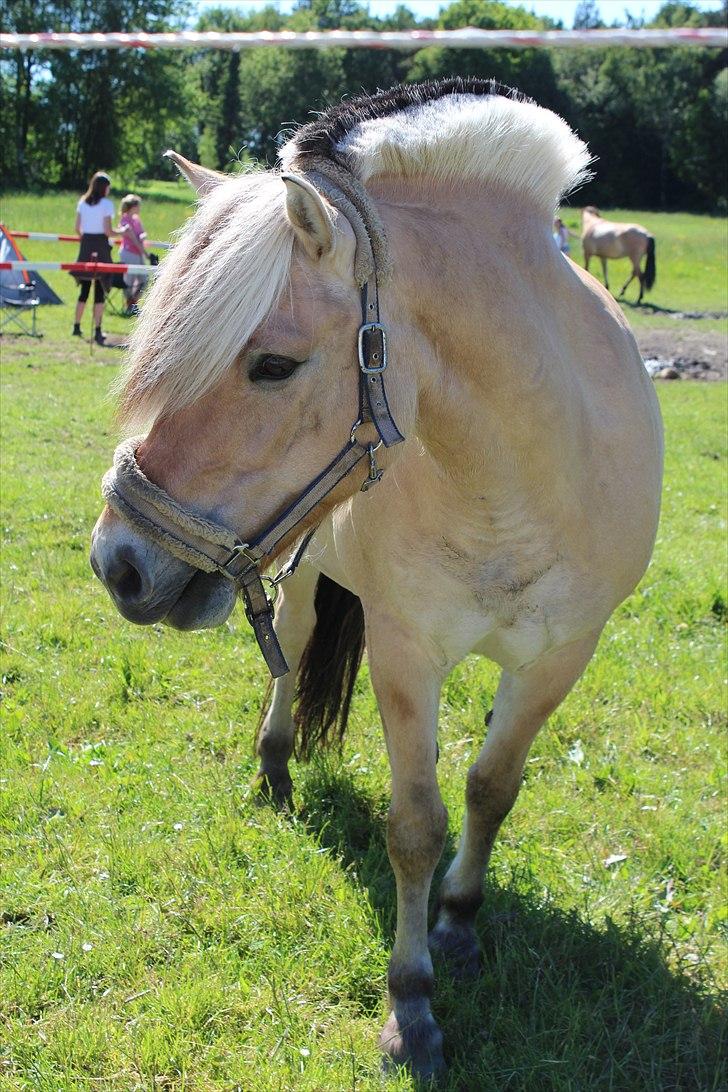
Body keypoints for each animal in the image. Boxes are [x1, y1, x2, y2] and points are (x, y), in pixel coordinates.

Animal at [91, 80, 667, 1078]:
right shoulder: (406, 653)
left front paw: (462, 925)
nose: (116, 562)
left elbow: (491, 789)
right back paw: (275, 766)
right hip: (302, 573)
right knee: (294, 641)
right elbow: (415, 826)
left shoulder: (561, 657)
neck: (524, 479)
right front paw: (412, 1007)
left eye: (272, 365)